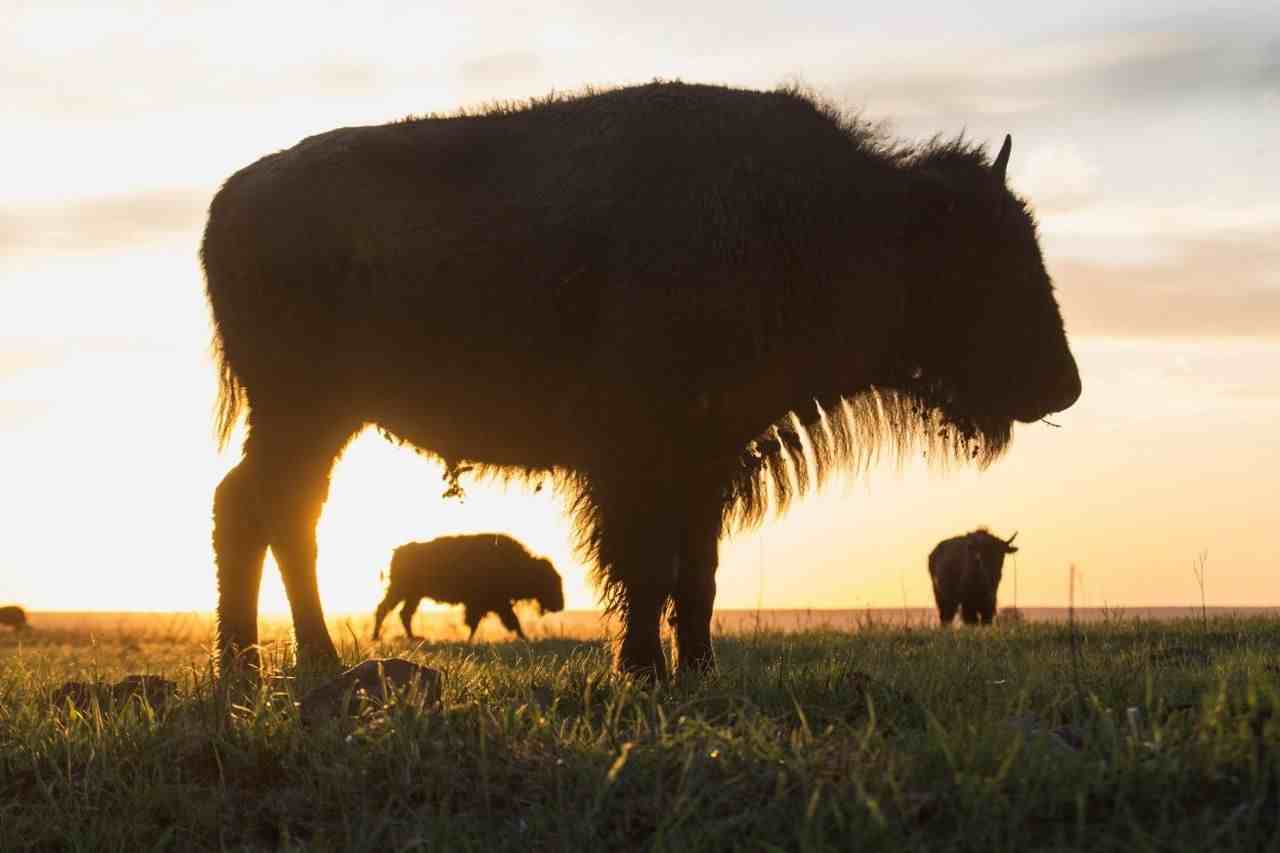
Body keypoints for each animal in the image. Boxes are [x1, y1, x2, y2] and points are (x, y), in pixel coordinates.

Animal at [373, 532, 568, 637]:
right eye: (549, 581)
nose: (560, 605)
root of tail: (398, 551)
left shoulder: (491, 604)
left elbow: (485, 623)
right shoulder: (492, 603)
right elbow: (509, 621)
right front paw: (525, 638)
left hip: (413, 595)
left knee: (403, 614)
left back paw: (413, 637)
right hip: (401, 591)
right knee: (385, 609)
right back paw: (377, 638)